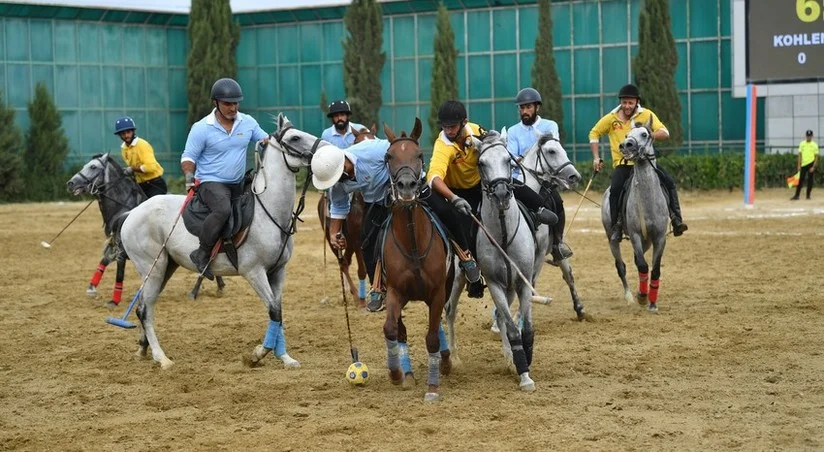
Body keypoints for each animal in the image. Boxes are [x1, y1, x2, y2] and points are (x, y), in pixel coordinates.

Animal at [66, 154, 225, 306]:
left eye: (93, 167)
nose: (71, 183)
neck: (122, 206)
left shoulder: (121, 248)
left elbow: (118, 269)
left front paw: (114, 300)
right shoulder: (116, 245)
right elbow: (104, 260)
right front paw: (91, 287)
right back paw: (216, 286)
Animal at [120, 113, 324, 368]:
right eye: (295, 137)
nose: (325, 149)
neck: (269, 212)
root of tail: (132, 213)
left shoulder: (278, 271)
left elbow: (278, 311)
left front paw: (285, 357)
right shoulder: (253, 272)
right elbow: (273, 311)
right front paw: (258, 354)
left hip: (165, 266)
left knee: (143, 305)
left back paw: (142, 349)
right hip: (152, 267)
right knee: (145, 310)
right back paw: (162, 358)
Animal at [382, 117, 454, 402]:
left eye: (419, 155)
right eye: (388, 156)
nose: (406, 187)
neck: (413, 245)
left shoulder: (437, 291)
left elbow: (432, 336)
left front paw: (433, 387)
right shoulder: (395, 291)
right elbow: (391, 329)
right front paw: (396, 374)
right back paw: (408, 373)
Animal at [600, 117, 672, 310]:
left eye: (645, 134)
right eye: (626, 135)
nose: (626, 145)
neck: (648, 202)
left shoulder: (659, 237)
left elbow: (655, 269)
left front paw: (652, 303)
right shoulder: (635, 235)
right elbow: (642, 265)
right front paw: (642, 296)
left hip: (647, 241)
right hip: (612, 238)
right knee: (621, 266)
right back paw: (629, 296)